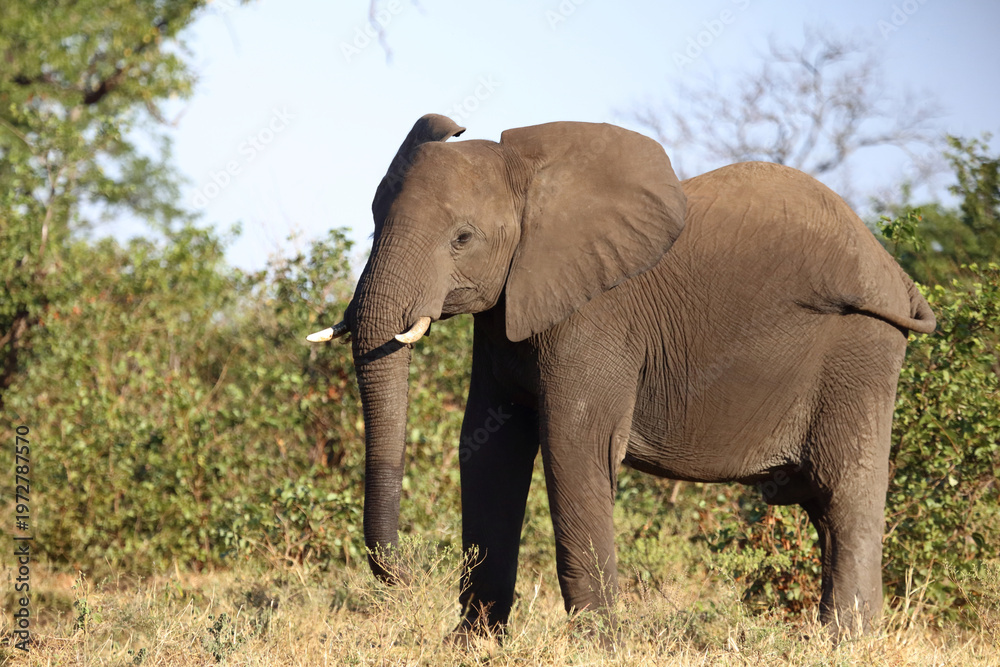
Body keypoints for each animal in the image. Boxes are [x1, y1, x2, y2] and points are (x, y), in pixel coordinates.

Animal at [307, 114, 935, 639]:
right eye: (372, 221)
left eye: (462, 238)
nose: (408, 578)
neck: (531, 178)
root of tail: (898, 279)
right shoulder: (506, 308)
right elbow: (488, 450)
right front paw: (472, 645)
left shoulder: (593, 316)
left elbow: (573, 446)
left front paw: (596, 644)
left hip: (862, 346)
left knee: (844, 493)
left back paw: (844, 641)